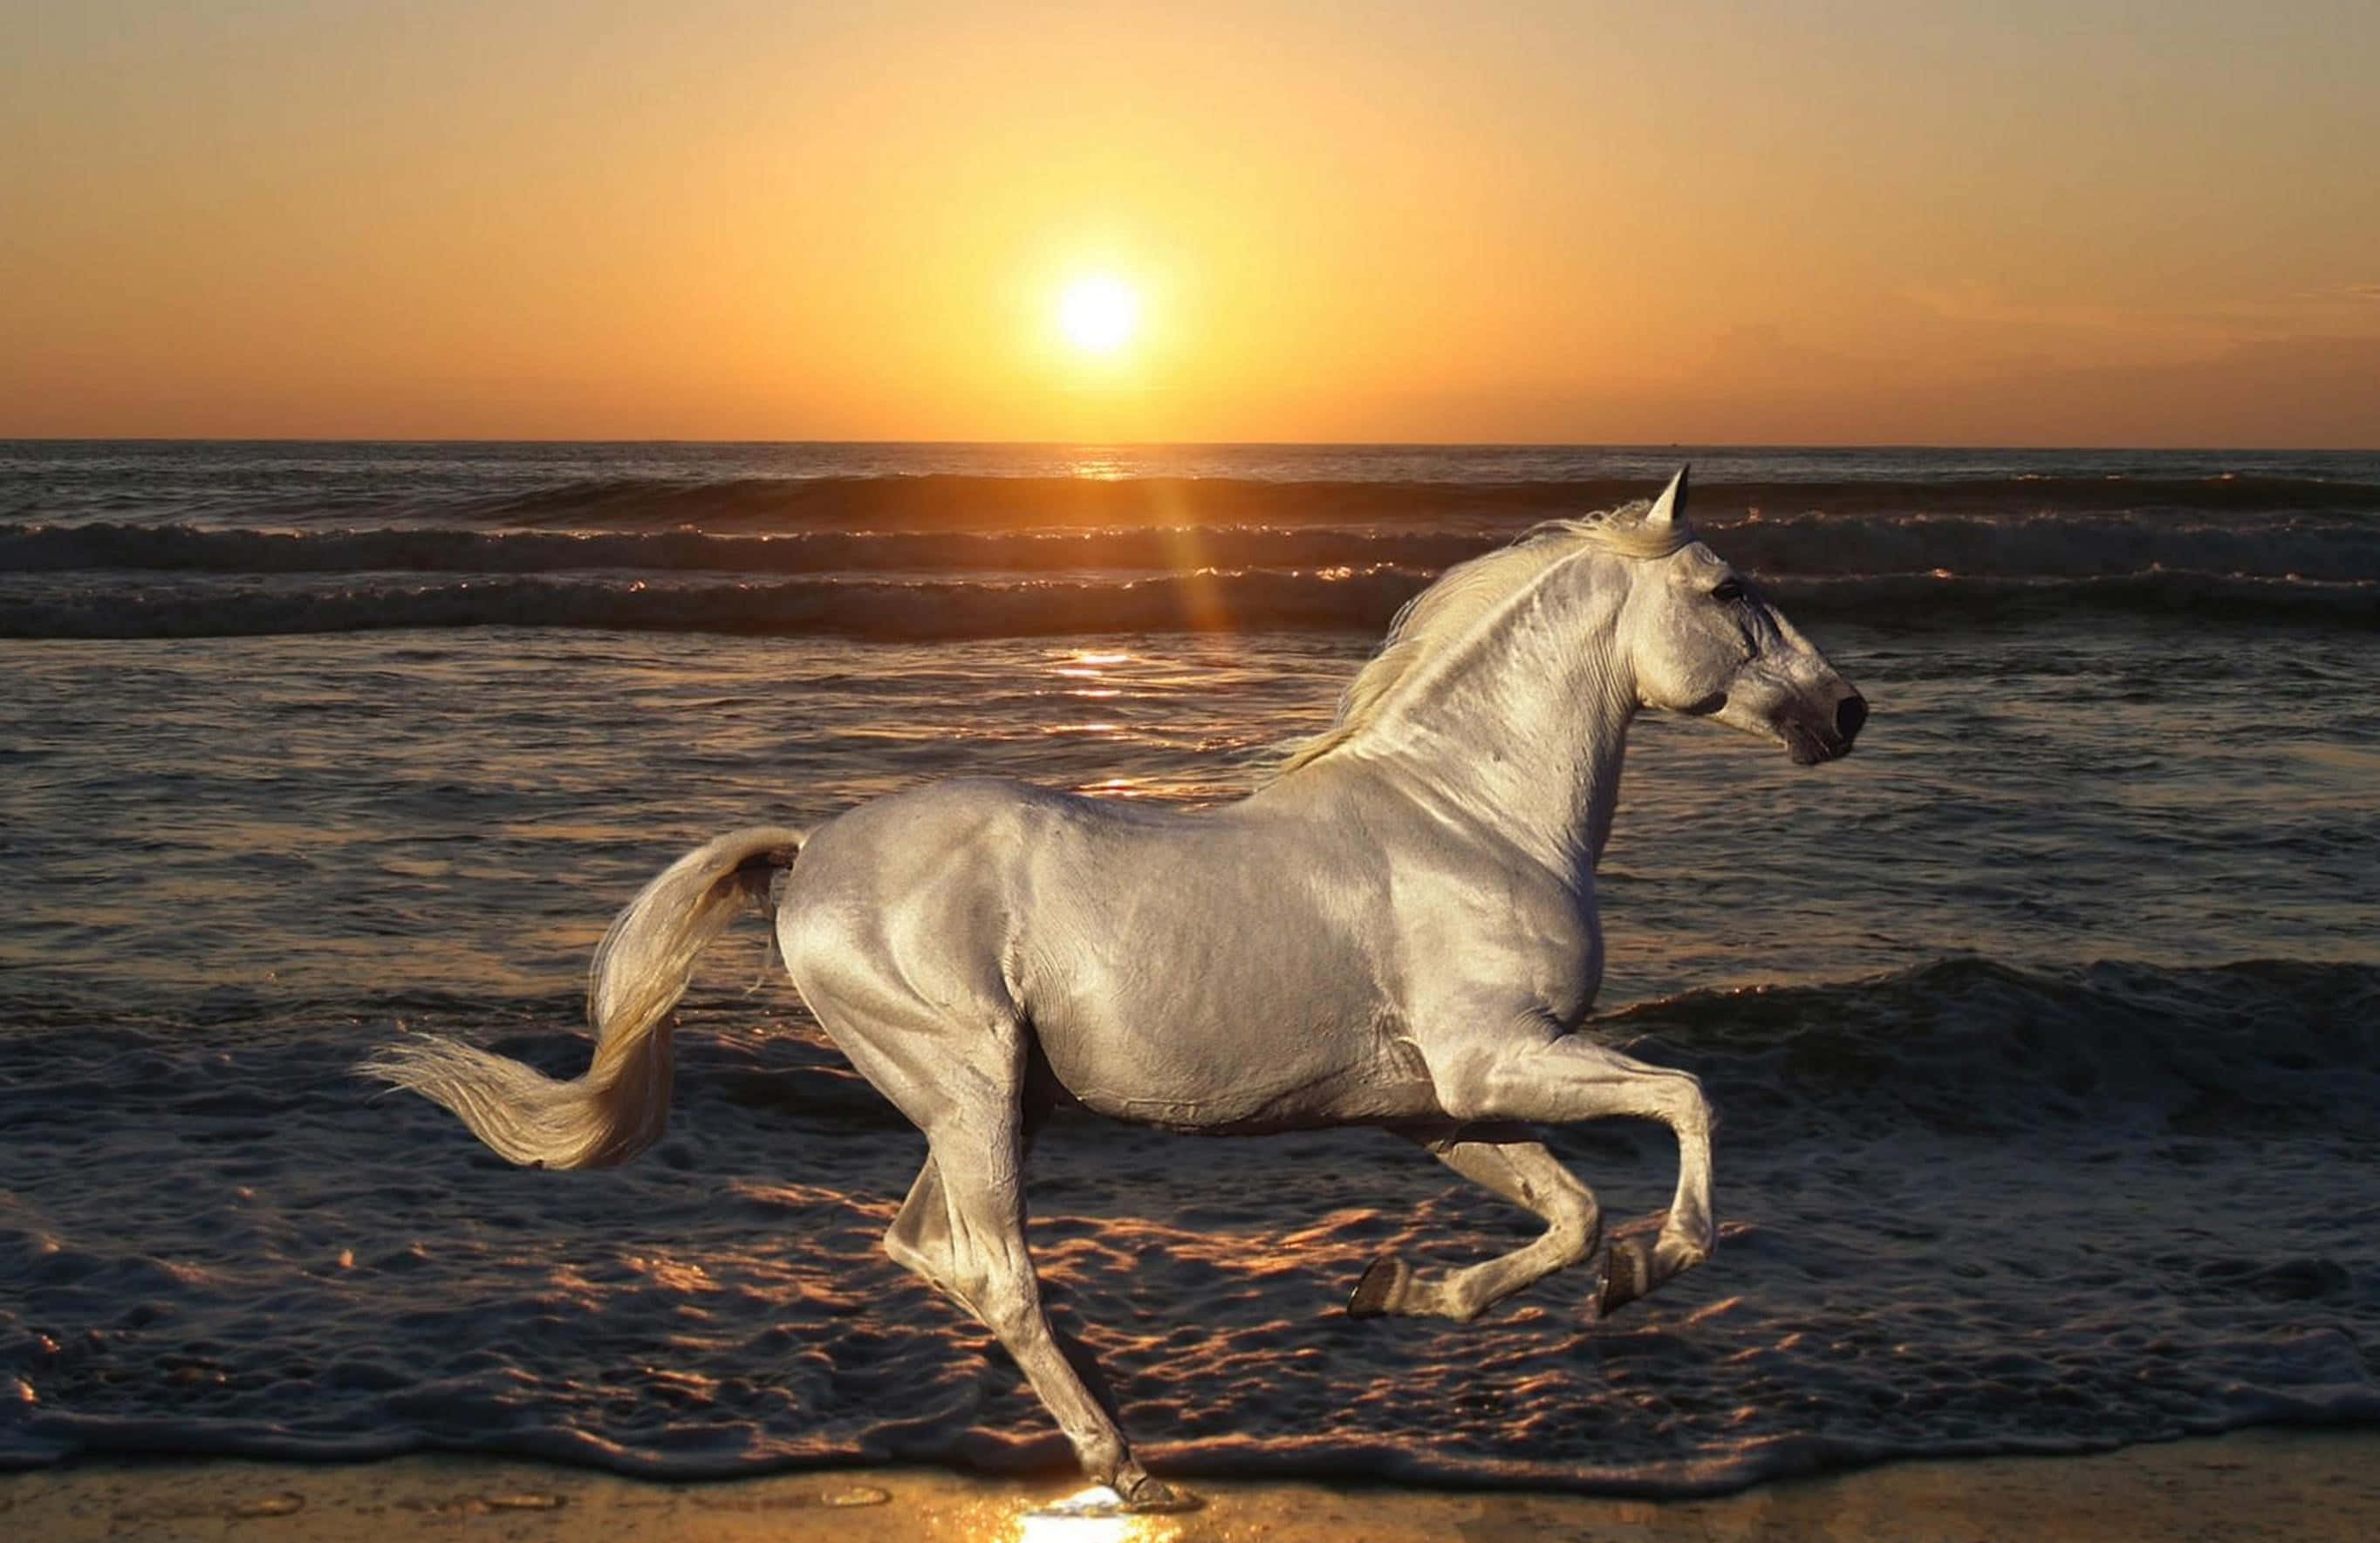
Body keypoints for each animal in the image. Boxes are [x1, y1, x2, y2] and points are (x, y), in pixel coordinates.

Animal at [365, 468, 1866, 1510]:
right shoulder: (1496, 1058)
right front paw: (1653, 1267)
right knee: (991, 1267)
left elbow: (1564, 1217)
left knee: (932, 1251)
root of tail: (810, 854)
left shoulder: (1436, 1105)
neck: (1467, 816)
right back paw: (1128, 1459)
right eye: (1730, 589)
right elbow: (1686, 1104)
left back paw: (1120, 1418)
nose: (1845, 711)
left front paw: (1399, 1291)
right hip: (969, 1084)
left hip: (989, 1102)